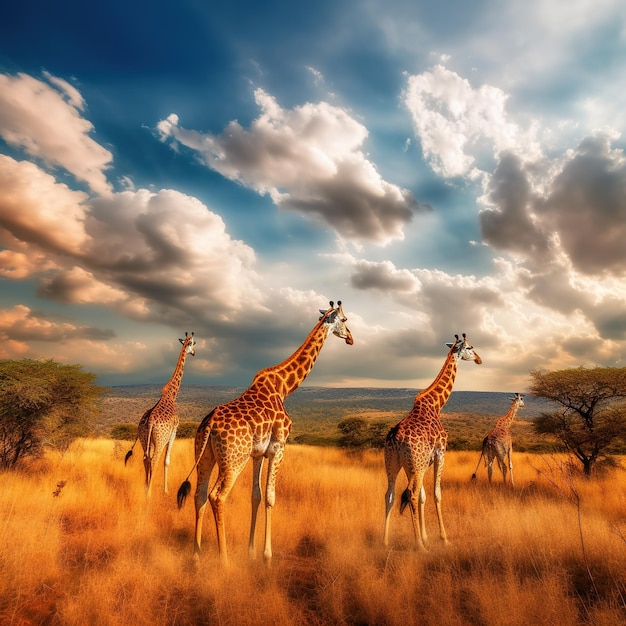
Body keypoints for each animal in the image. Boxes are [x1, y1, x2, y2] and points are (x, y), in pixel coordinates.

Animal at [124, 330, 195, 494]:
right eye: (193, 344)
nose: (194, 353)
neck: (171, 395)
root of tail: (150, 422)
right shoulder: (174, 431)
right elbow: (167, 461)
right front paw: (166, 490)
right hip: (160, 440)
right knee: (154, 460)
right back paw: (149, 494)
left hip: (144, 439)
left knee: (146, 458)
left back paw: (145, 488)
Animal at [177, 300, 352, 560]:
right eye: (345, 320)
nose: (351, 338)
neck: (284, 387)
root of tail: (209, 424)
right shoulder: (279, 447)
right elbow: (270, 497)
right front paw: (267, 555)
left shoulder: (258, 453)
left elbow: (256, 496)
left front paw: (251, 551)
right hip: (233, 460)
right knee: (217, 496)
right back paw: (224, 559)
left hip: (204, 455)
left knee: (199, 496)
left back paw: (196, 556)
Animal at [380, 332, 482, 544]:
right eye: (470, 348)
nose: (479, 359)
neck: (436, 404)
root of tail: (396, 437)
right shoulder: (440, 454)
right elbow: (436, 494)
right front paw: (443, 538)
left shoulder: (422, 462)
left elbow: (423, 497)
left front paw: (426, 535)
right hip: (414, 464)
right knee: (410, 495)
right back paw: (419, 545)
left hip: (394, 462)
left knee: (390, 495)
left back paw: (385, 541)